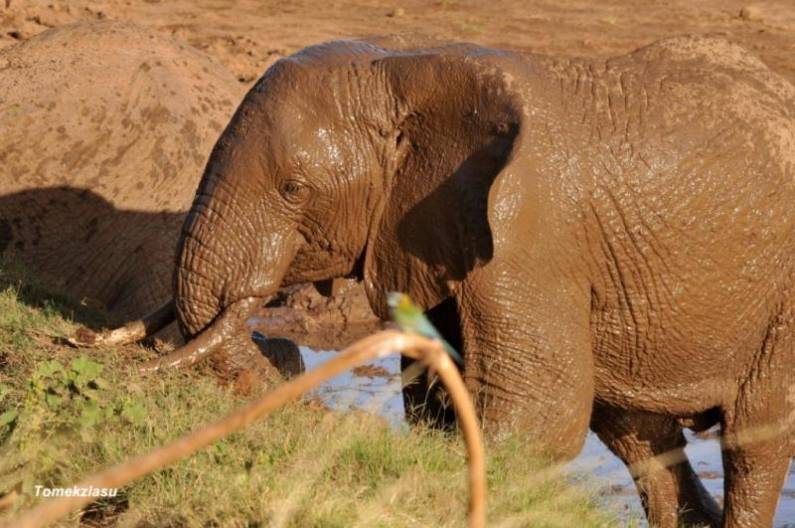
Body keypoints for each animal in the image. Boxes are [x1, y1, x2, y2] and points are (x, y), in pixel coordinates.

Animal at [129, 35, 788, 524]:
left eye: (294, 189)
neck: (403, 69)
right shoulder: (434, 231)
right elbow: (436, 401)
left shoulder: (532, 238)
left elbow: (537, 418)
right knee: (637, 433)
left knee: (755, 444)